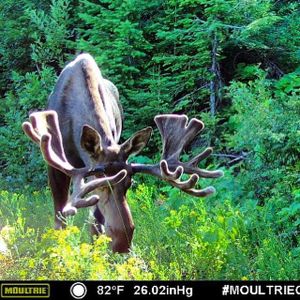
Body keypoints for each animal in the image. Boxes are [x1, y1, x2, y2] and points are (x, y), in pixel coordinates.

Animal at [22, 54, 224, 253]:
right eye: (102, 186)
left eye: (129, 182)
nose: (124, 241)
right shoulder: (57, 166)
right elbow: (60, 218)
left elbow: (96, 222)